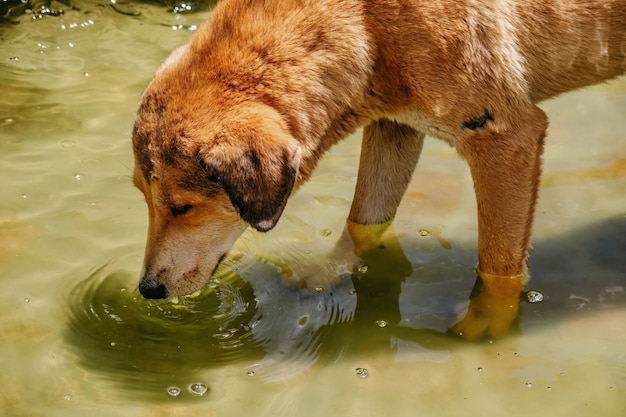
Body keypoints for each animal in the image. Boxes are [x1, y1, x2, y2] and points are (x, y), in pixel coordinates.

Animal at [130, 0, 620, 336]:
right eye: (142, 197)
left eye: (183, 208)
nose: (148, 290)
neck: (366, 22)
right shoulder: (395, 124)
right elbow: (364, 222)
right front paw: (328, 273)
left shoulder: (507, 139)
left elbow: (498, 266)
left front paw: (488, 324)